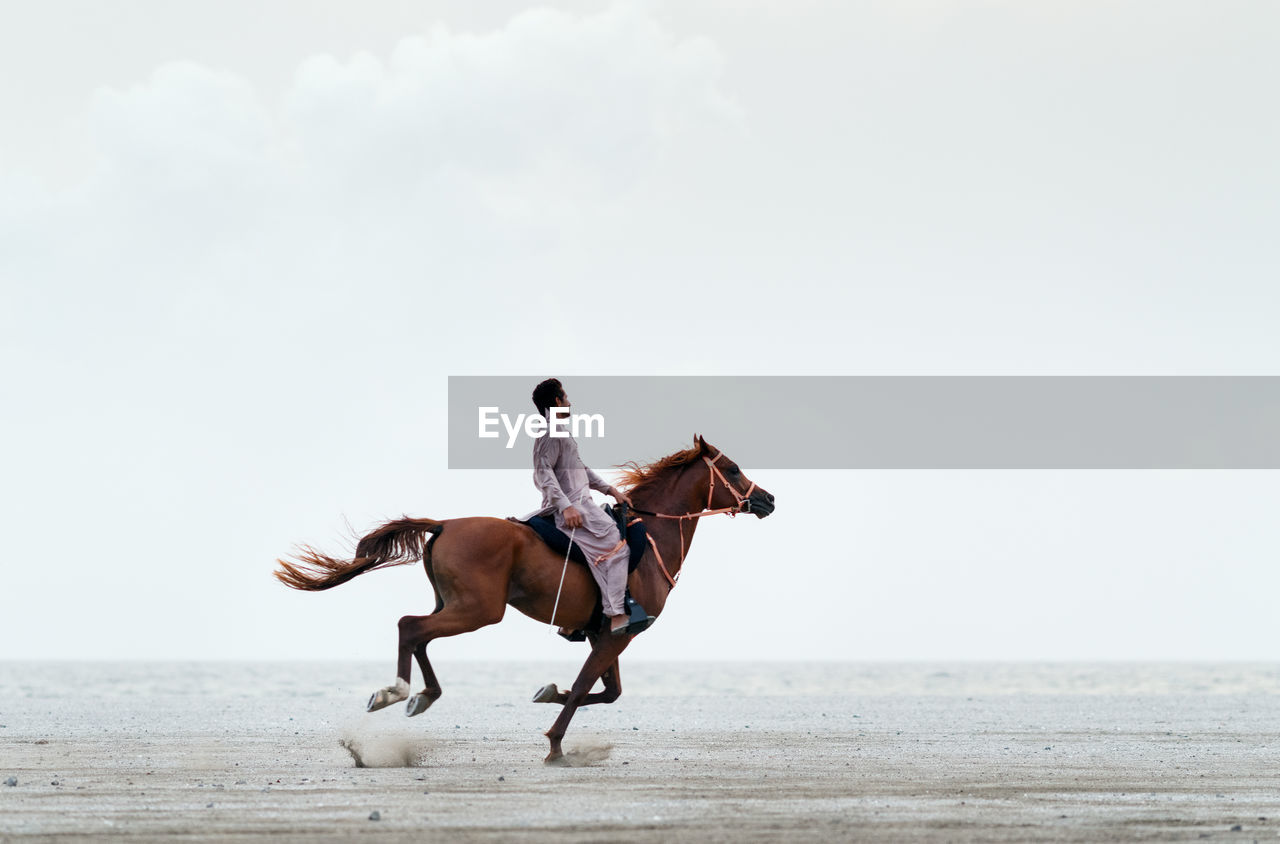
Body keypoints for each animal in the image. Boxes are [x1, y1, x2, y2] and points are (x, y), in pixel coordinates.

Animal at [275, 438, 773, 763]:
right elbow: (588, 688)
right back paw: (396, 691)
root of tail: (444, 524)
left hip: (455, 606)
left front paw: (550, 692)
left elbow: (606, 692)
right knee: (409, 626)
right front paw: (554, 744)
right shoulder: (617, 636)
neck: (649, 539)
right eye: (731, 469)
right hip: (477, 611)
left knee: (419, 634)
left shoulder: (605, 633)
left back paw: (422, 695)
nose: (767, 499)